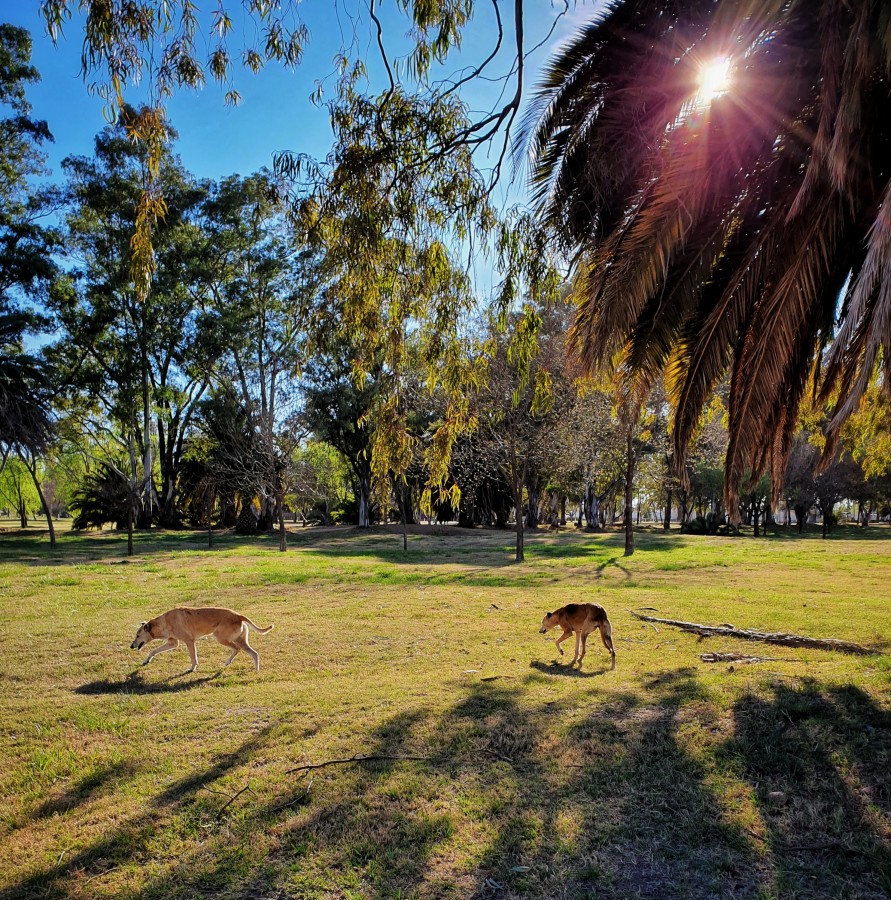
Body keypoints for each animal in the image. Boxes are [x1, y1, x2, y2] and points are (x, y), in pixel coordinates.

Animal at [130, 608, 272, 672]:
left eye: (137, 635)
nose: (131, 646)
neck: (164, 622)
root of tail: (238, 615)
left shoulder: (189, 641)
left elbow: (193, 658)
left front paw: (192, 669)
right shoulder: (172, 643)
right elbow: (153, 651)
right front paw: (146, 661)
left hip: (221, 638)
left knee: (239, 649)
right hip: (238, 640)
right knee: (253, 653)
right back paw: (252, 668)